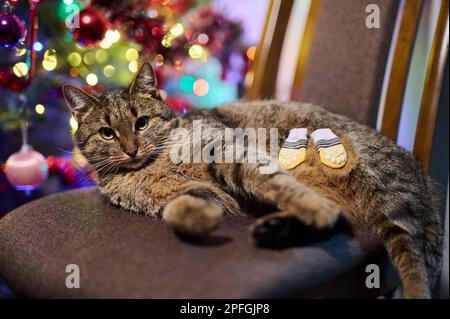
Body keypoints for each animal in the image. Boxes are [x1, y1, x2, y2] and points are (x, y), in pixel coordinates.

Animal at [63, 63, 442, 300]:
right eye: (107, 133)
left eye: (141, 123)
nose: (131, 149)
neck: (150, 166)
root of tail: (425, 178)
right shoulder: (181, 195)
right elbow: (178, 208)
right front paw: (201, 219)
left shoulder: (230, 150)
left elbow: (271, 180)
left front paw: (310, 206)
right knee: (340, 220)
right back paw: (274, 230)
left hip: (384, 195)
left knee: (410, 260)